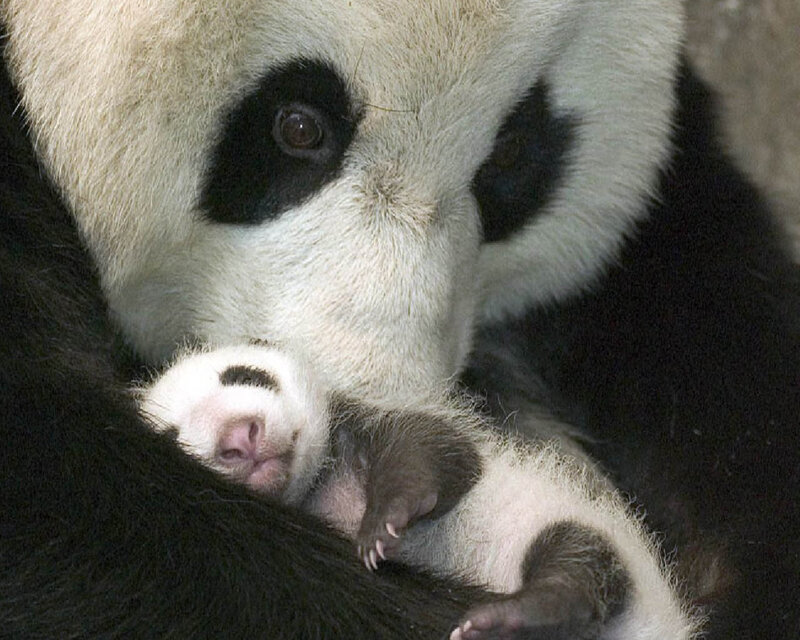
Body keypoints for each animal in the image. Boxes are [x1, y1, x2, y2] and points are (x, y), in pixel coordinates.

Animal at [139, 343, 697, 640]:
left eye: (245, 375)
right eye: (172, 437)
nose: (239, 437)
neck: (320, 489)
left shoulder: (364, 423)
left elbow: (434, 455)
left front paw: (383, 524)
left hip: (585, 530)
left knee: (577, 567)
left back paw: (505, 613)